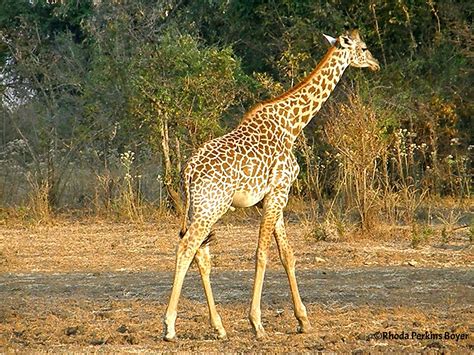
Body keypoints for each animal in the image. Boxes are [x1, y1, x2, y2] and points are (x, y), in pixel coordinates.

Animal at [162, 29, 378, 340]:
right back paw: (169, 327)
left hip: (199, 209)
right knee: (187, 248)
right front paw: (257, 323)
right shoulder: (279, 192)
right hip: (211, 208)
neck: (292, 124)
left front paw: (303, 320)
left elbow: (287, 255)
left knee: (201, 254)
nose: (375, 64)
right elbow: (262, 254)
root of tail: (189, 171)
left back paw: (219, 327)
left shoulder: (273, 196)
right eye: (364, 47)